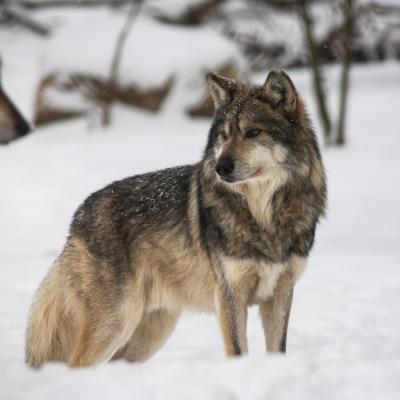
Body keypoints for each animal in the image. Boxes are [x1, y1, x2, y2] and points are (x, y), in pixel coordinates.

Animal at [25, 68, 326, 366]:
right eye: (224, 135)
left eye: (253, 132)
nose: (221, 168)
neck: (264, 216)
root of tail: (78, 215)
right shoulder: (229, 297)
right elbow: (238, 351)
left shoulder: (281, 293)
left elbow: (278, 350)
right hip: (117, 322)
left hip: (152, 330)